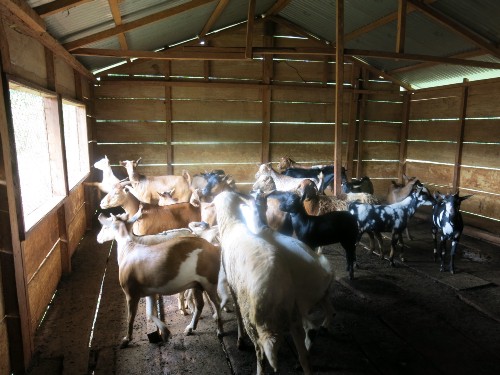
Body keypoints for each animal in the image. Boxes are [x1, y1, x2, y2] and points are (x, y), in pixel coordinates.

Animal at [96, 214, 225, 350]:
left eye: (106, 226)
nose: (98, 238)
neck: (128, 249)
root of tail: (215, 248)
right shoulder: (150, 292)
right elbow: (149, 314)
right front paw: (166, 332)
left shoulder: (131, 293)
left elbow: (130, 318)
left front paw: (126, 340)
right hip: (197, 284)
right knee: (200, 305)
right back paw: (190, 328)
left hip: (209, 282)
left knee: (216, 303)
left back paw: (220, 331)